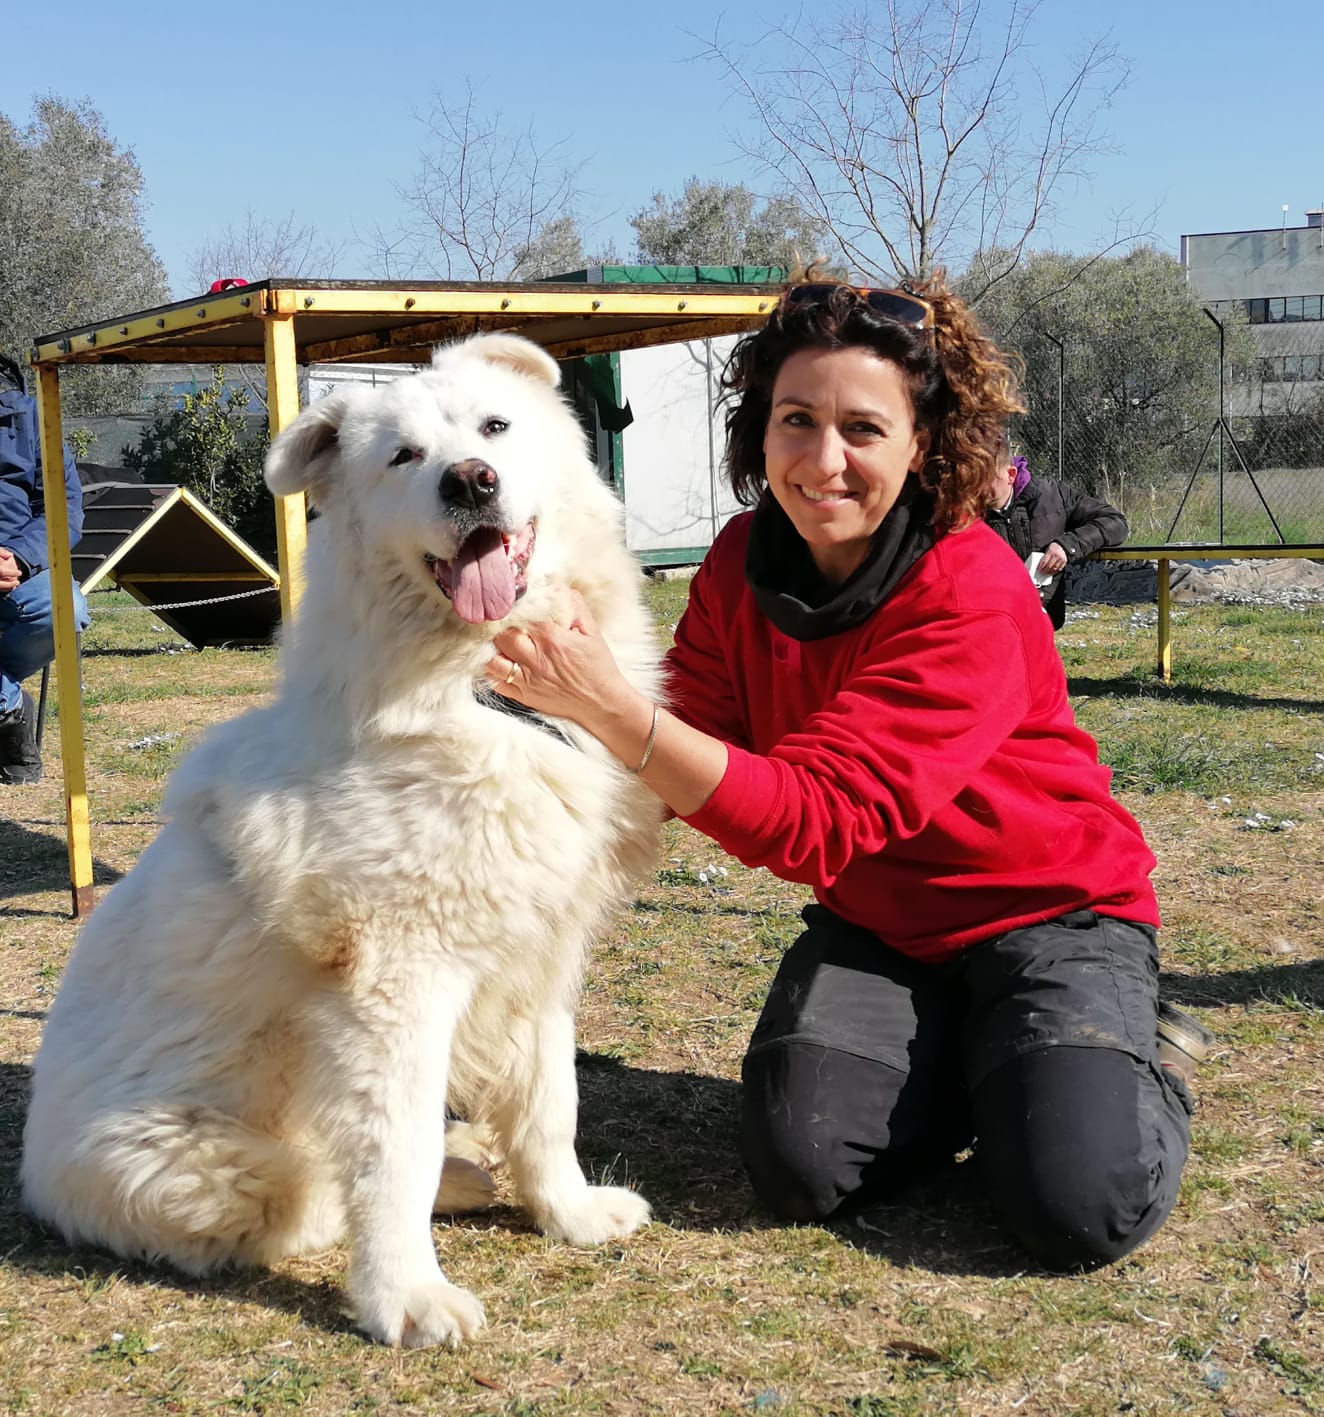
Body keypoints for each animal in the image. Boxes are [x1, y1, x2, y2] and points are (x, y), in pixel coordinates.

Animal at [20, 331, 663, 1348]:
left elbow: (549, 1103)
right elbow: (392, 1159)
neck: (481, 692)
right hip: (214, 1168)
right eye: (403, 457)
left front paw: (570, 1213)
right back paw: (457, 1178)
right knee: (322, 1189)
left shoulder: (537, 956)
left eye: (495, 427)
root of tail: (33, 1177)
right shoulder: (397, 987)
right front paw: (408, 1299)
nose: (470, 481)